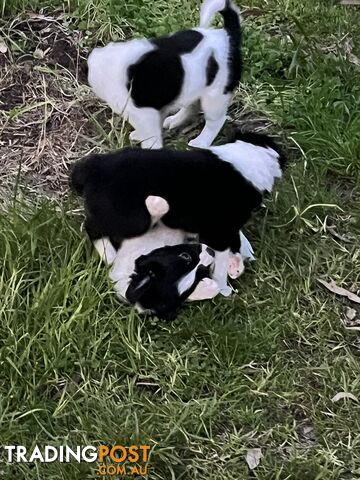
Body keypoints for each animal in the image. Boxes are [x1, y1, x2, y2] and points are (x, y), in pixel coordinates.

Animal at [69, 131, 284, 298]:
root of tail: (93, 168)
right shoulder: (220, 233)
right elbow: (221, 263)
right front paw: (223, 288)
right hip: (132, 220)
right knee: (92, 227)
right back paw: (109, 255)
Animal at [86, 0, 242, 148]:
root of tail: (227, 35)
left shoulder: (144, 113)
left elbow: (151, 136)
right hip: (194, 87)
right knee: (191, 106)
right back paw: (175, 120)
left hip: (215, 96)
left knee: (216, 121)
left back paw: (201, 142)